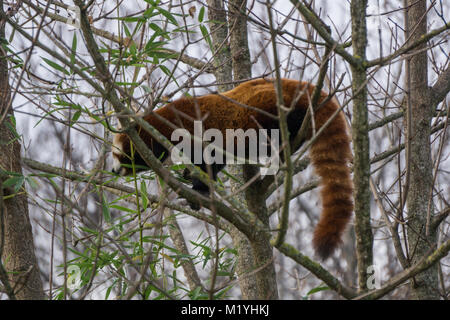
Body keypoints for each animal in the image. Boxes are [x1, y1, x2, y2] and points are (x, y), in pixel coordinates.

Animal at [111, 78, 352, 260]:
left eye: (117, 154)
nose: (113, 171)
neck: (161, 124)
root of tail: (298, 84)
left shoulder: (195, 132)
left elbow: (209, 163)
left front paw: (199, 190)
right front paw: (190, 177)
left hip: (269, 107)